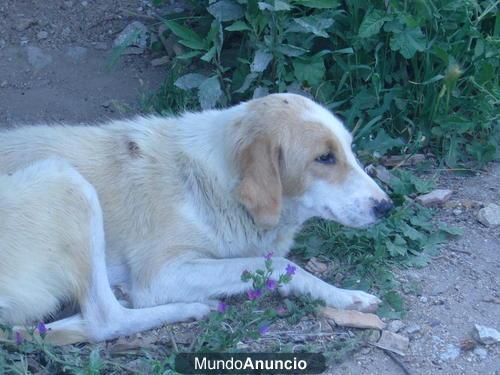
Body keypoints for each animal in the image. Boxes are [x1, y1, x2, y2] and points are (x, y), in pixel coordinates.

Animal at [0, 93, 392, 344]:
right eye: (324, 158)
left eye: (350, 149)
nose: (386, 207)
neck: (213, 180)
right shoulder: (160, 274)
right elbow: (281, 264)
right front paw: (344, 296)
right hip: (66, 180)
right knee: (104, 319)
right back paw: (189, 307)